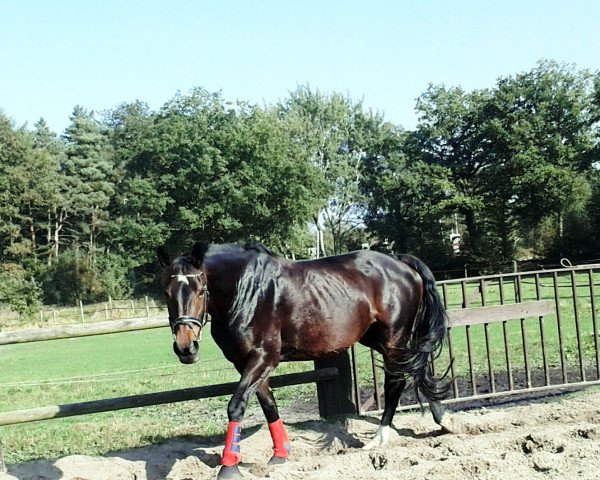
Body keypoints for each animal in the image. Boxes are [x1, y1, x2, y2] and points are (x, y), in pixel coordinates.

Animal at [158, 242, 460, 478]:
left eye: (200, 290)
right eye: (166, 292)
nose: (186, 348)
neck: (245, 289)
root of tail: (400, 262)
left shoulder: (264, 356)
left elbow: (237, 405)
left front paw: (229, 466)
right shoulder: (246, 361)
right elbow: (268, 404)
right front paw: (280, 454)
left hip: (393, 338)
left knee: (396, 379)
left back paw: (379, 439)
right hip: (374, 338)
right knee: (416, 368)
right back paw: (444, 421)